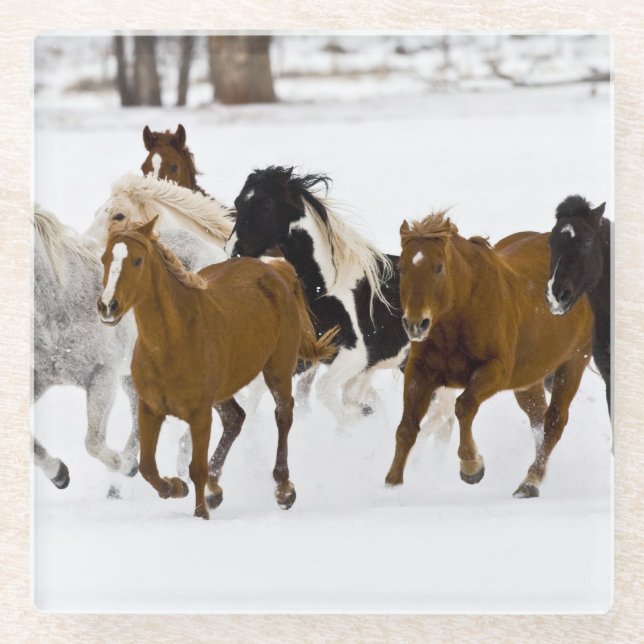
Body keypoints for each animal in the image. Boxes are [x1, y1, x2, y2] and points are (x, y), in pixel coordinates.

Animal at [98, 217, 338, 519]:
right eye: (104, 258)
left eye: (138, 260)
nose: (108, 306)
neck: (172, 342)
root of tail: (275, 270)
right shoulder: (150, 409)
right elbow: (147, 468)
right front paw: (176, 487)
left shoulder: (199, 414)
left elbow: (196, 469)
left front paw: (201, 513)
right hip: (224, 390)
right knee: (235, 419)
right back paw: (216, 488)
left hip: (278, 370)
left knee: (283, 414)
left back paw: (284, 490)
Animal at [225, 166, 456, 427]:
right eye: (238, 202)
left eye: (265, 204)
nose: (233, 251)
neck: (326, 289)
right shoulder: (307, 358)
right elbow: (258, 392)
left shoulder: (356, 356)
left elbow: (327, 392)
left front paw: (356, 418)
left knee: (445, 414)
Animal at [385, 212, 594, 498]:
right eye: (401, 268)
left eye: (438, 267)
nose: (416, 324)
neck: (461, 309)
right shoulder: (420, 371)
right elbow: (406, 426)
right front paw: (392, 484)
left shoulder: (495, 370)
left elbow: (464, 406)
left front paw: (471, 466)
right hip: (529, 380)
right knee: (538, 419)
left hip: (573, 363)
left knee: (554, 423)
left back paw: (530, 482)